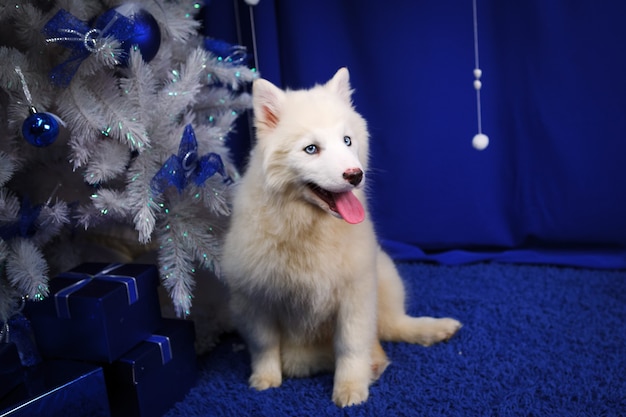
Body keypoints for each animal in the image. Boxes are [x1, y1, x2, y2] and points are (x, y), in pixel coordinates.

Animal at [222, 68, 460, 406]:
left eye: (347, 141)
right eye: (311, 149)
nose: (356, 175)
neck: (309, 226)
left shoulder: (356, 294)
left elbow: (351, 345)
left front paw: (349, 388)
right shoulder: (255, 301)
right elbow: (264, 345)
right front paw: (265, 379)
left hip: (384, 273)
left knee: (392, 325)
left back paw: (430, 331)